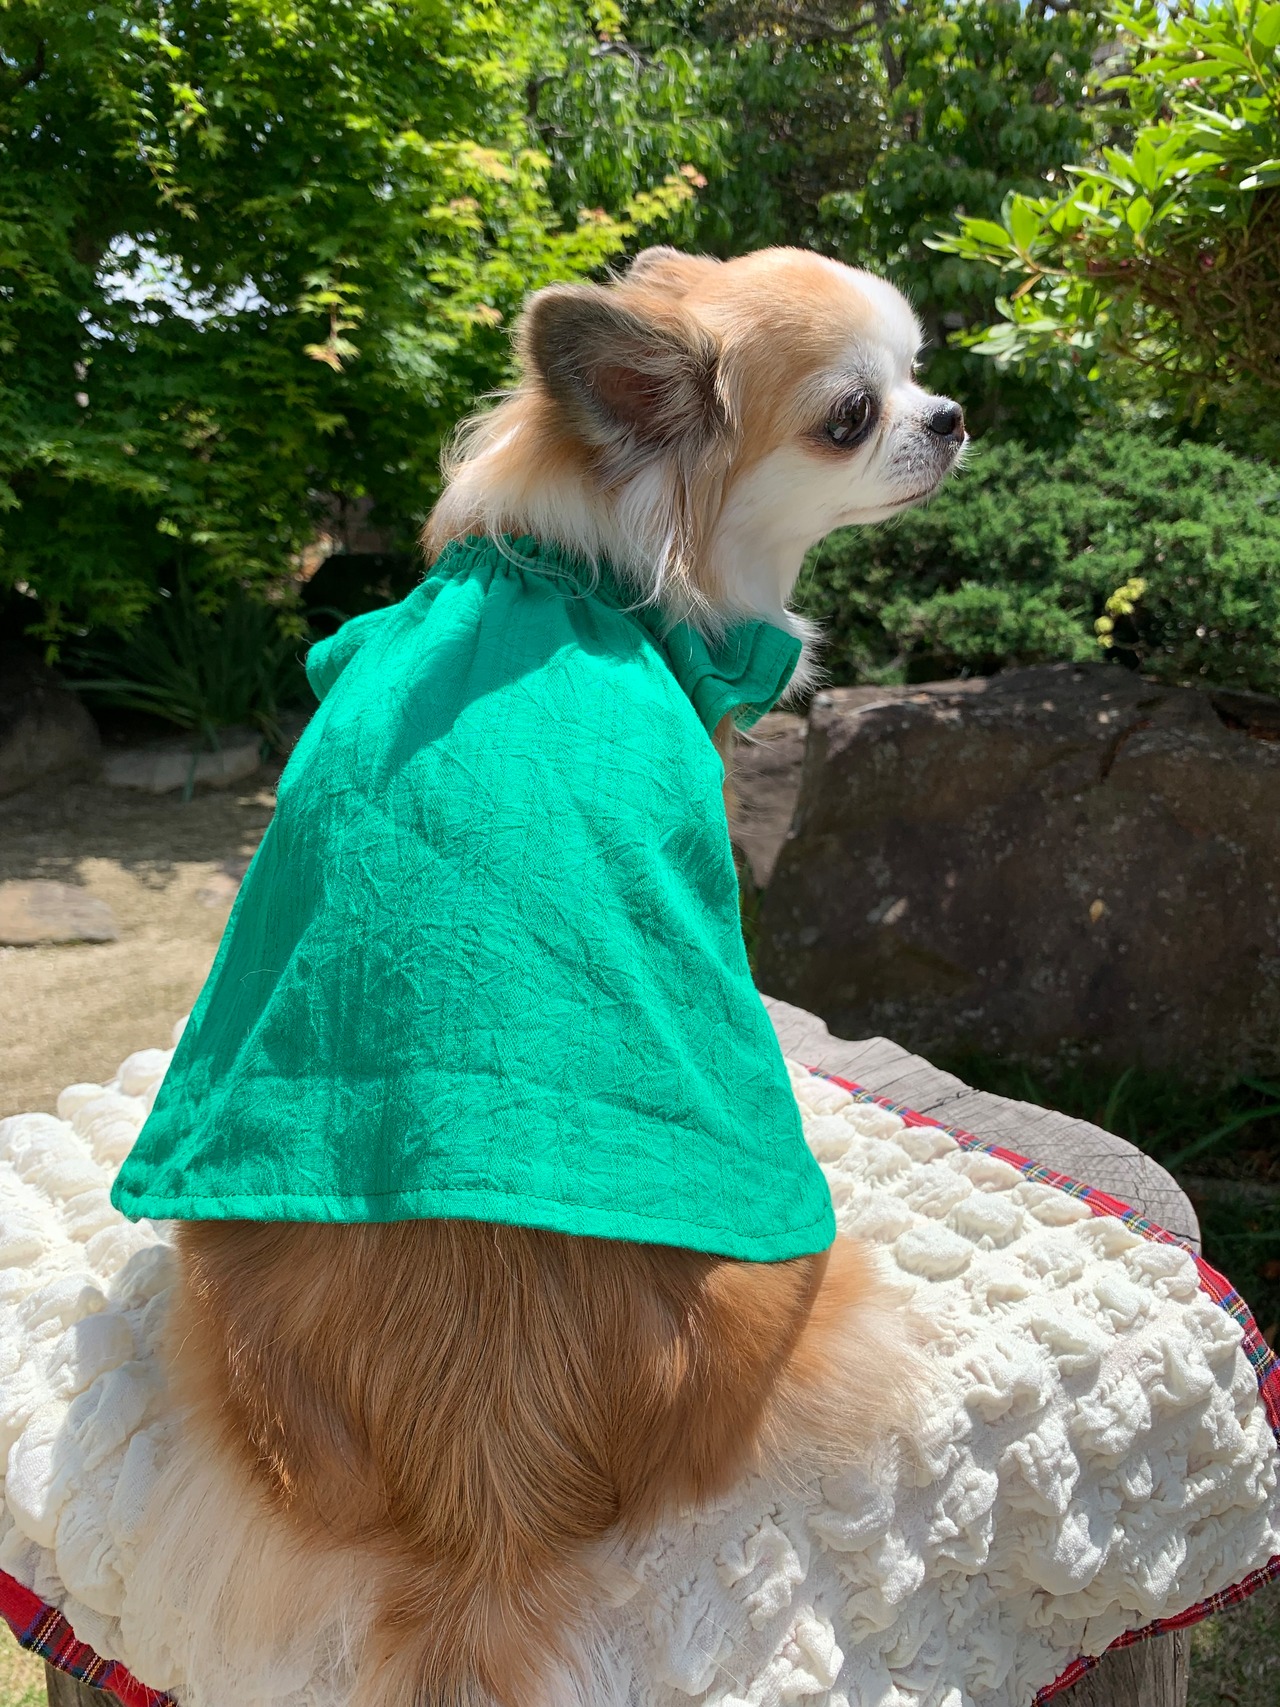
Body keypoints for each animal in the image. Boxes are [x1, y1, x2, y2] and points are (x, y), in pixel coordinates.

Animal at [163, 247, 965, 1707]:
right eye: (849, 416)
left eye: (920, 372)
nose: (951, 416)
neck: (574, 568)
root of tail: (492, 1479)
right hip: (805, 1277)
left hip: (214, 1287)